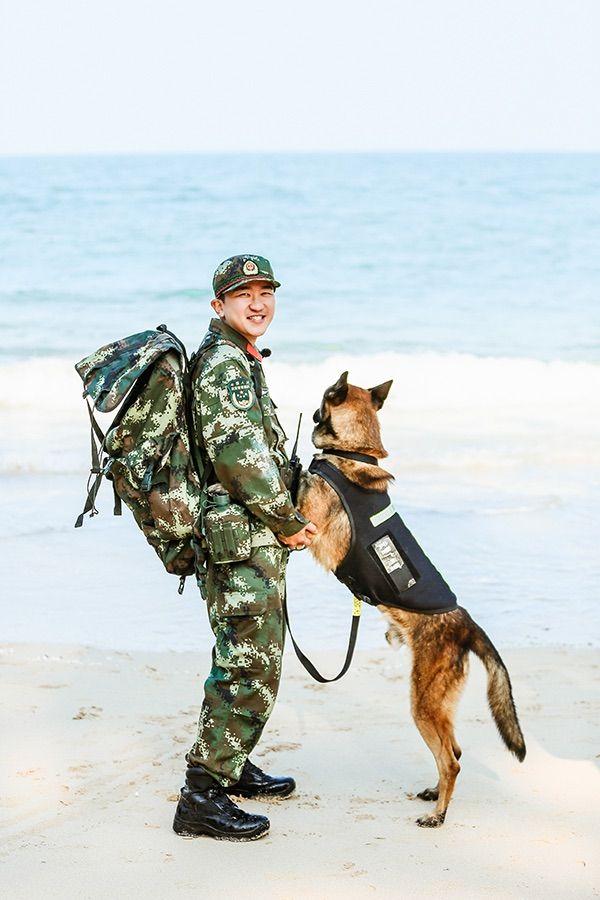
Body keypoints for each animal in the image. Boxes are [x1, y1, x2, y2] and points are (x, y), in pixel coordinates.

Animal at [296, 371, 526, 827]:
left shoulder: (304, 514)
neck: (356, 452)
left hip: (423, 702)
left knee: (451, 760)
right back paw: (435, 795)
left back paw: (438, 815)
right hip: (436, 703)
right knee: (454, 751)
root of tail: (466, 623)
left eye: (323, 398)